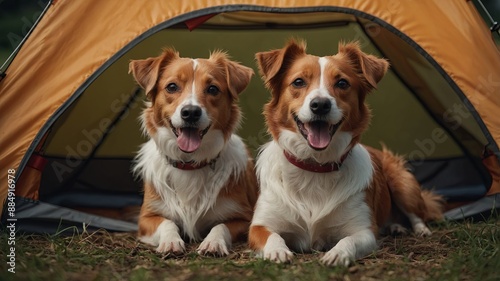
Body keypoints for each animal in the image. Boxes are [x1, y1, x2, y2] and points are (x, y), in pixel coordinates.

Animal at [129, 48, 260, 256]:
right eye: (172, 87)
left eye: (213, 89)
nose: (190, 112)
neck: (189, 163)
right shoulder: (147, 217)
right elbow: (167, 223)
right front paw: (171, 241)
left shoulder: (243, 218)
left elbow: (220, 226)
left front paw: (213, 243)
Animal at [248, 38, 444, 264]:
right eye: (298, 82)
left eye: (342, 83)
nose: (320, 105)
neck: (314, 166)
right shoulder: (259, 225)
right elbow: (272, 236)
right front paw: (276, 251)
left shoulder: (364, 230)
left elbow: (349, 240)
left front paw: (337, 254)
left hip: (402, 183)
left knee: (417, 214)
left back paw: (418, 230)